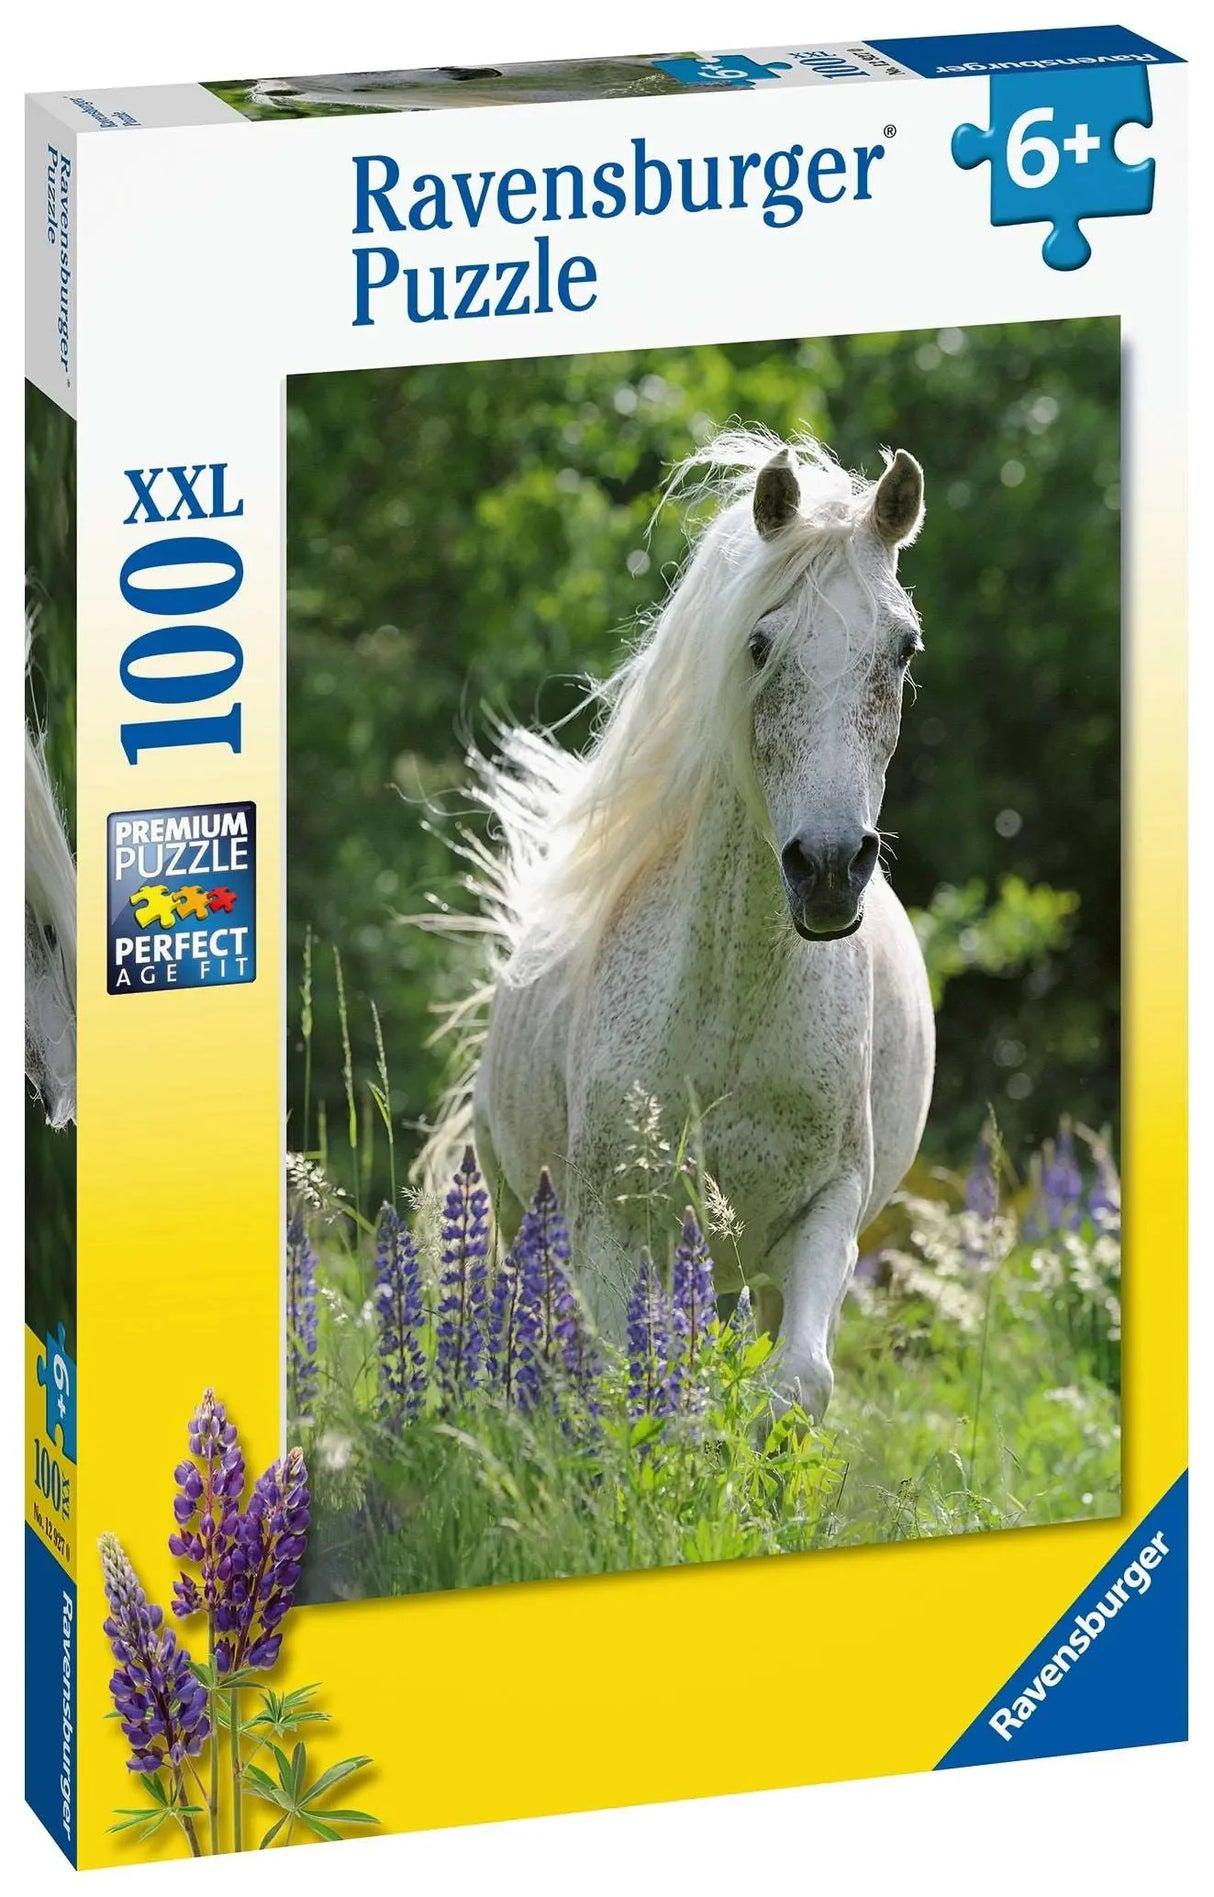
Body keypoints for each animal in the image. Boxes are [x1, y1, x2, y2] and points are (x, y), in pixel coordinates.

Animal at [425, 427, 935, 1417]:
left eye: (902, 647)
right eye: (760, 643)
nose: (827, 870)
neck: (732, 1012)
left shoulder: (827, 1211)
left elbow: (796, 1383)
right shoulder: (608, 1227)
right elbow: (625, 1388)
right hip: (518, 1207)